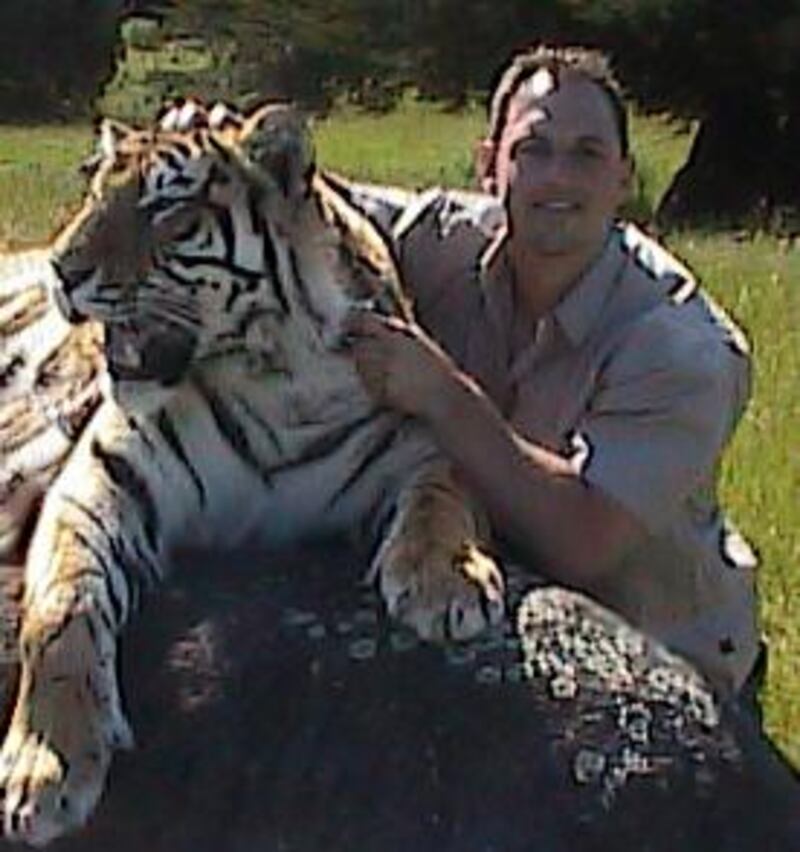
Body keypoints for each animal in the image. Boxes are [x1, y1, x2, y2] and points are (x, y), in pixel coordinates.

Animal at [0, 101, 504, 844]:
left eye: (166, 210)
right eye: (94, 192)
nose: (61, 273)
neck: (273, 376)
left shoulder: (421, 431)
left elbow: (445, 494)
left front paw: (447, 583)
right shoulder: (100, 480)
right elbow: (63, 611)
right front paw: (48, 768)